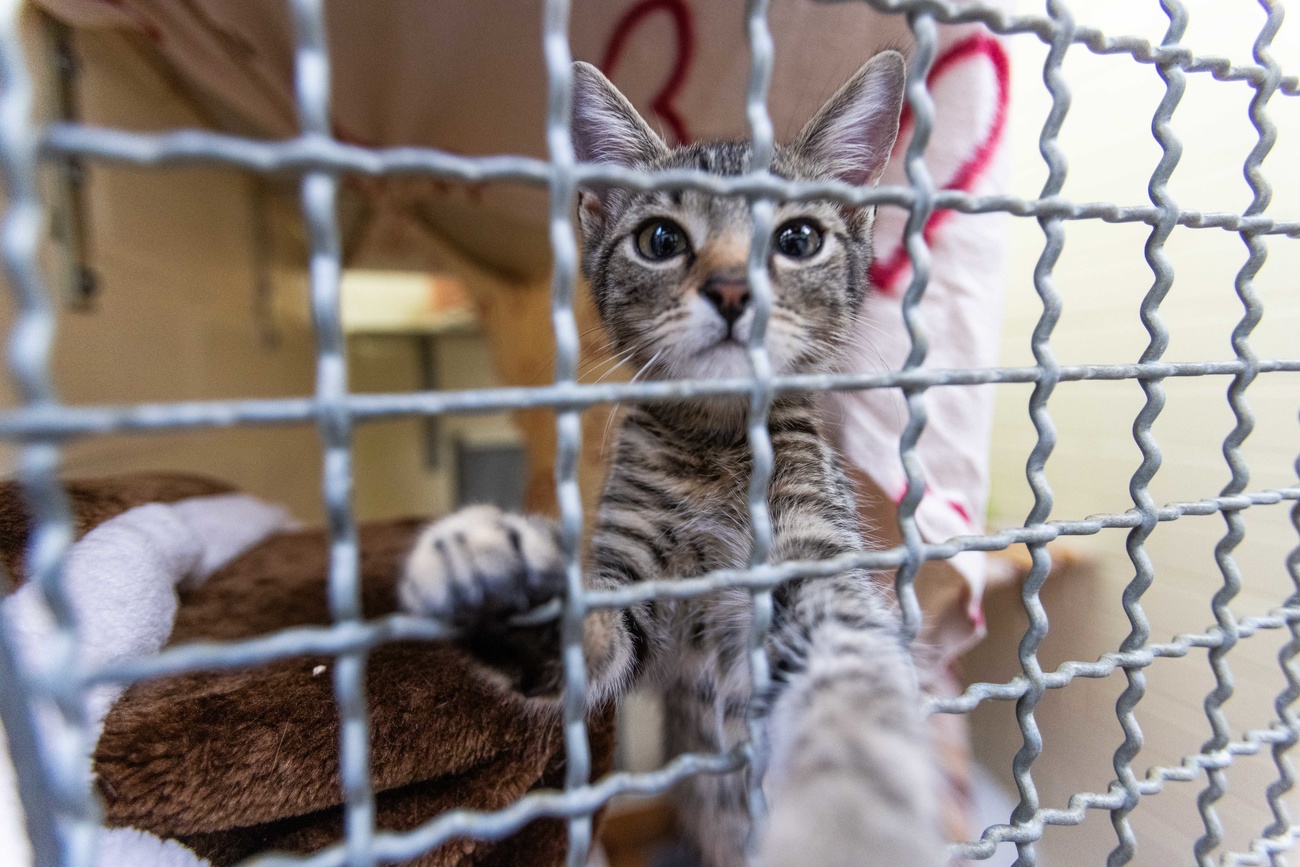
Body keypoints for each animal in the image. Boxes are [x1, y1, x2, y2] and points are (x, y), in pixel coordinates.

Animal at [395, 52, 946, 867]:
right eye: (659, 239)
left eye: (798, 238)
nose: (731, 288)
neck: (717, 445)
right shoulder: (635, 584)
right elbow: (597, 635)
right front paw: (500, 575)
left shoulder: (813, 558)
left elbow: (852, 676)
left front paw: (849, 816)